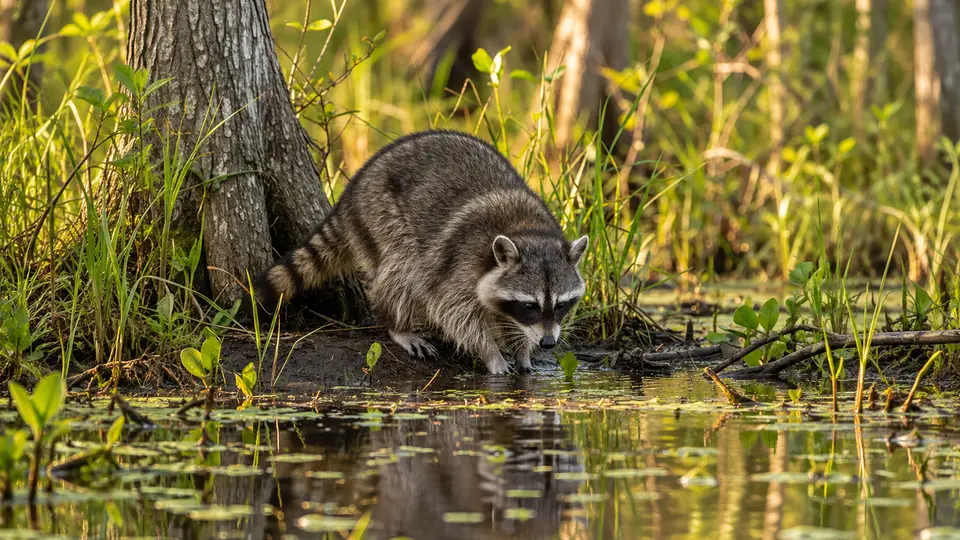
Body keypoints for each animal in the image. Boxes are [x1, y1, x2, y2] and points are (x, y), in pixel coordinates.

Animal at [251, 130, 588, 374]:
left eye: (561, 305)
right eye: (530, 305)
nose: (548, 343)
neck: (528, 230)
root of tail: (355, 186)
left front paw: (523, 349)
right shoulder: (462, 263)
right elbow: (454, 311)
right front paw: (491, 352)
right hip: (382, 212)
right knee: (401, 269)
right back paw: (398, 325)